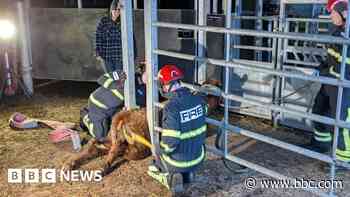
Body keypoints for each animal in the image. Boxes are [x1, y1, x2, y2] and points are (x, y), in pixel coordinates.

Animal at [62, 80, 221, 175]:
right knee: (113, 150)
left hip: (114, 139)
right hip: (131, 145)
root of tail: (125, 114)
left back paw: (71, 163)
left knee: (96, 144)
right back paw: (102, 168)